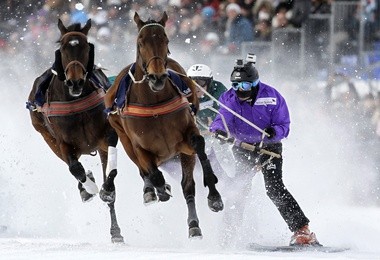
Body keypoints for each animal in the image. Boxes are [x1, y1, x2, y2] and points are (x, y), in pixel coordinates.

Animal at [28, 18, 123, 244]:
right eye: (62, 47)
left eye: (86, 47)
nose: (75, 81)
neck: (75, 101)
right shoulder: (62, 141)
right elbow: (75, 169)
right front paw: (89, 188)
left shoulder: (107, 135)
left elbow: (111, 172)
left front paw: (106, 190)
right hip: (46, 135)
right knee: (73, 166)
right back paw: (86, 187)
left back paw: (115, 230)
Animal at [104, 12, 223, 239]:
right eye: (140, 42)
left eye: (166, 40)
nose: (157, 77)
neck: (154, 103)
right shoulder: (138, 145)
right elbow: (152, 172)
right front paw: (158, 189)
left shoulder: (185, 137)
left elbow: (199, 147)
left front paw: (213, 198)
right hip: (123, 137)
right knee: (145, 171)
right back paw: (151, 191)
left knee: (187, 185)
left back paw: (193, 222)